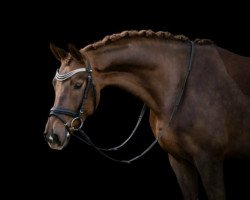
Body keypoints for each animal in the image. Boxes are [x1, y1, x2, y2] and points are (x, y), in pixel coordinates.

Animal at [44, 30, 250, 200]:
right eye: (54, 84)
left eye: (78, 85)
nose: (52, 135)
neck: (179, 87)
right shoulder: (180, 162)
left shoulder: (210, 161)